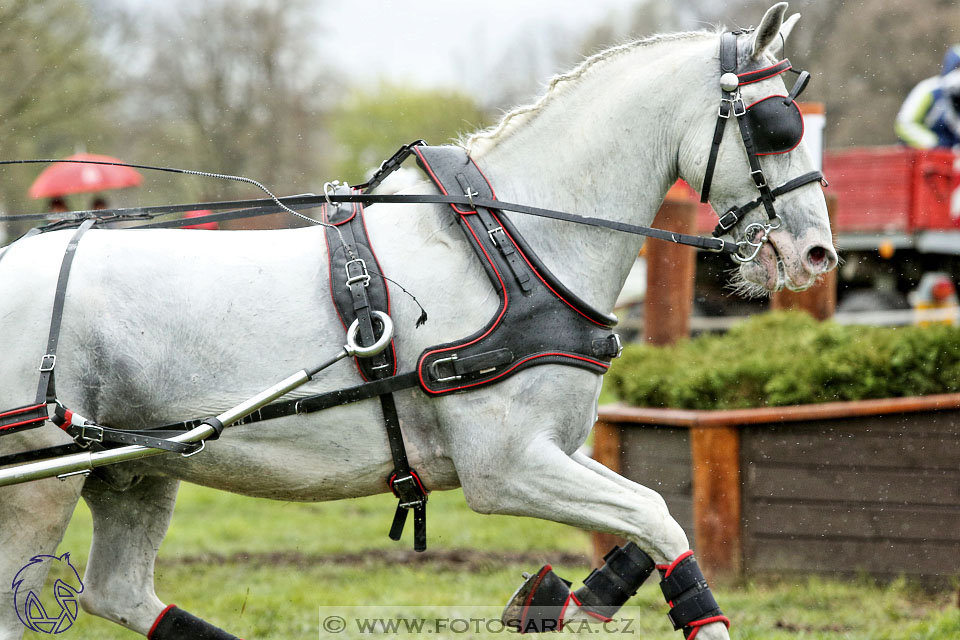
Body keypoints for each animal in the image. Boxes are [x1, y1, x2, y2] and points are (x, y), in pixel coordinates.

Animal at [1, 6, 832, 640]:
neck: (513, 247)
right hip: (41, 482)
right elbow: (659, 519)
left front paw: (556, 601)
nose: (817, 252)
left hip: (135, 468)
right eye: (777, 124)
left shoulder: (555, 450)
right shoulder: (505, 468)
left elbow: (648, 518)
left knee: (119, 592)